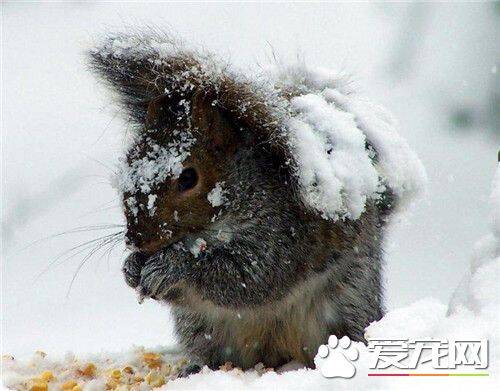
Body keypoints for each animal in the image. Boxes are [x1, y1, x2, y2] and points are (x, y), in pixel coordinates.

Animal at [88, 32, 424, 376]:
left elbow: (250, 276)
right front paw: (131, 267)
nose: (136, 240)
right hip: (199, 328)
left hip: (348, 302)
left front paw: (172, 265)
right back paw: (195, 367)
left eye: (188, 178)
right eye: (129, 163)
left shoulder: (282, 232)